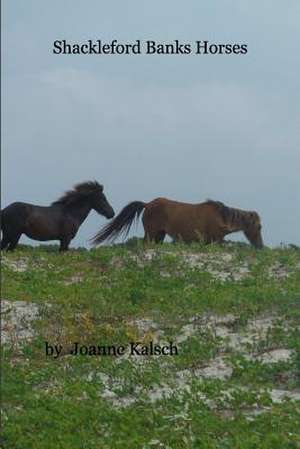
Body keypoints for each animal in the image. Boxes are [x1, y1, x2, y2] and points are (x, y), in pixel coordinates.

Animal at [92, 200, 264, 248]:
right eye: (259, 226)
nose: (260, 246)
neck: (221, 217)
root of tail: (147, 204)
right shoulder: (215, 241)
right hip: (151, 234)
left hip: (159, 235)